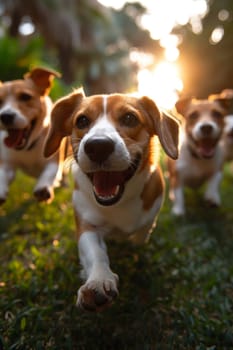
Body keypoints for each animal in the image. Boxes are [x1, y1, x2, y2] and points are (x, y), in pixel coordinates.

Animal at [0, 67, 65, 205]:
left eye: (25, 97)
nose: (5, 116)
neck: (28, 148)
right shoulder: (7, 163)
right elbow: (2, 173)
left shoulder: (54, 160)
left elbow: (50, 172)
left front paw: (43, 187)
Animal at [43, 88, 178, 312]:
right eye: (81, 120)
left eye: (130, 118)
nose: (98, 146)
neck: (118, 203)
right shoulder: (87, 224)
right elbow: (96, 253)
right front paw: (98, 281)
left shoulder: (150, 216)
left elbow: (142, 233)